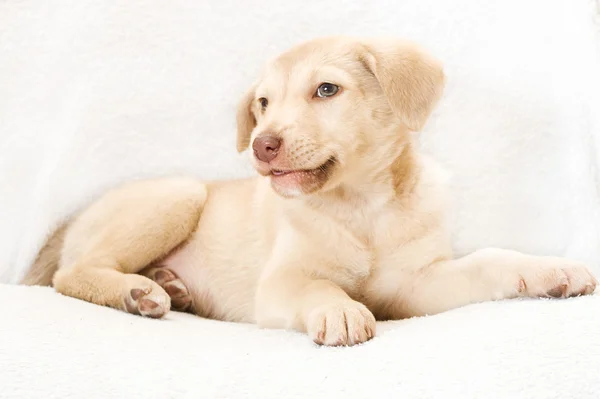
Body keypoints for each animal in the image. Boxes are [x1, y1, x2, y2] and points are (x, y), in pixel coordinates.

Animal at [22, 36, 596, 346]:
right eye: (262, 104)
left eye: (326, 90)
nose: (262, 145)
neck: (362, 207)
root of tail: (70, 222)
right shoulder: (280, 285)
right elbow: (317, 287)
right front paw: (340, 309)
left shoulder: (415, 287)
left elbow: (492, 260)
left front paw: (551, 272)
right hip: (179, 194)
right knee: (71, 273)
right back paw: (137, 292)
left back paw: (170, 284)